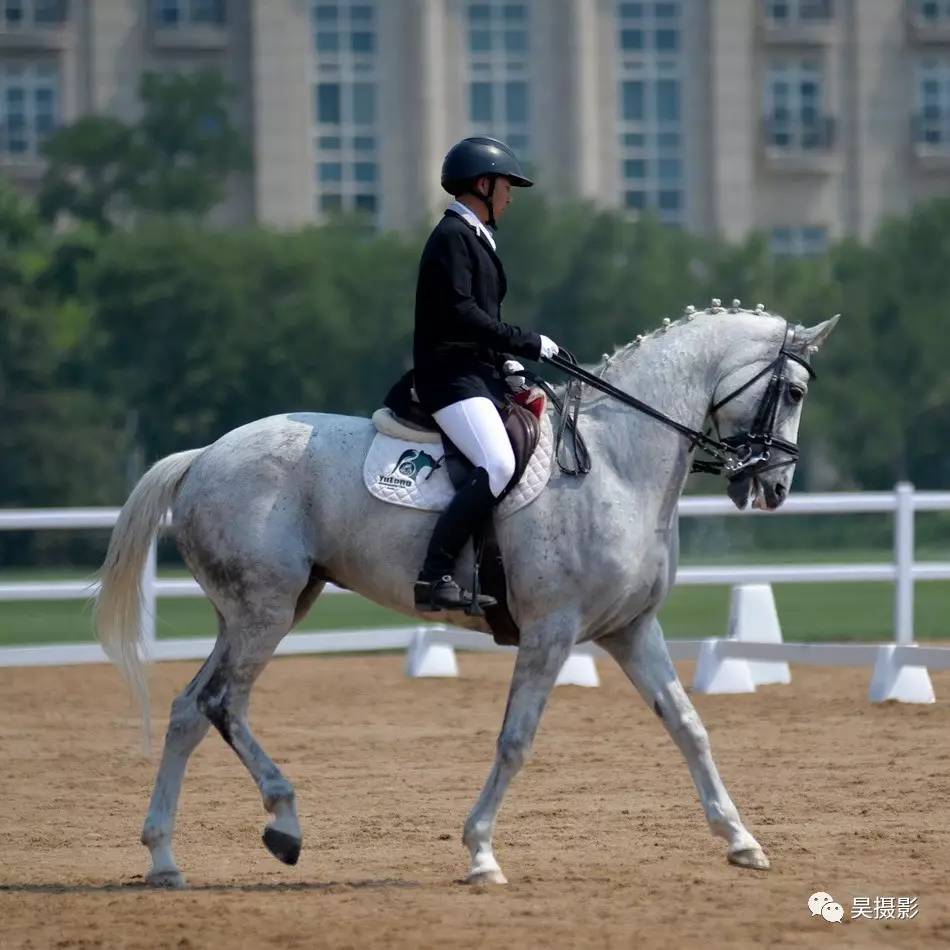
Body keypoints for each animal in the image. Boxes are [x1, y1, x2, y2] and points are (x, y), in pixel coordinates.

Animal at [96, 302, 840, 888]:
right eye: (795, 393)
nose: (773, 488)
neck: (618, 464)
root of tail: (202, 456)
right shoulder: (551, 631)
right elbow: (516, 740)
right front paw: (481, 852)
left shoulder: (631, 629)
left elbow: (688, 725)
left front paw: (742, 841)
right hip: (266, 613)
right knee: (222, 704)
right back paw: (284, 824)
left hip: (258, 611)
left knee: (190, 710)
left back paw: (165, 858)